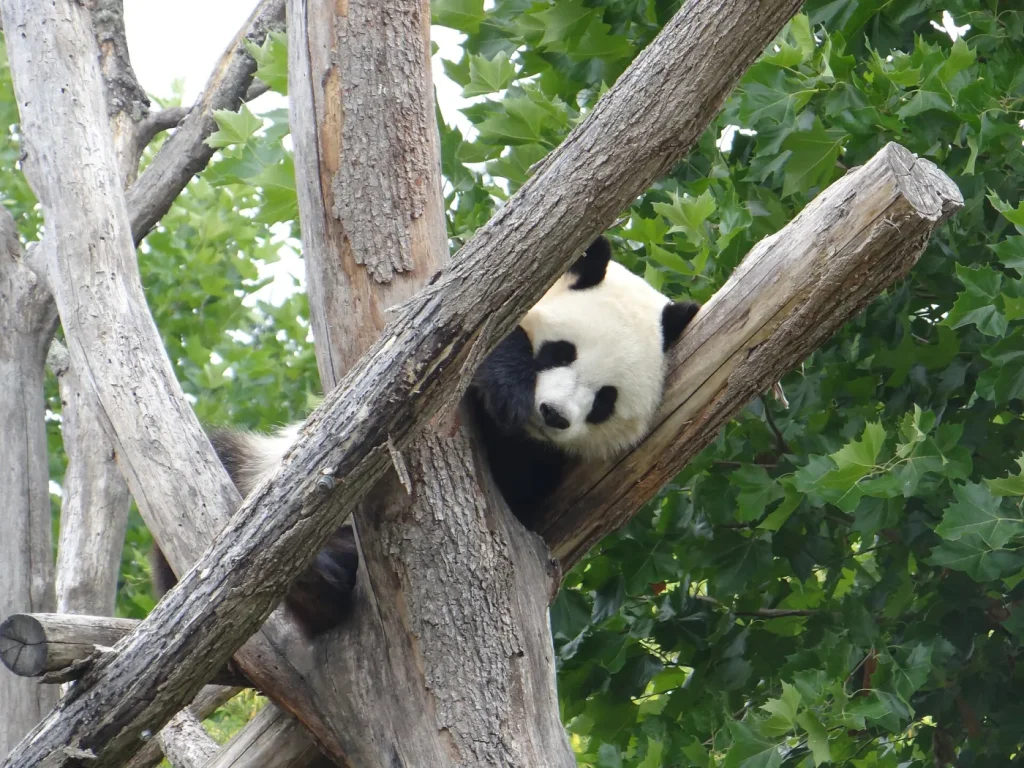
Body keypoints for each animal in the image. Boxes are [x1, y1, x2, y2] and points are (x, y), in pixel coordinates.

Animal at [150, 236, 699, 633]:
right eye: (559, 352)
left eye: (605, 399)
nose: (554, 414)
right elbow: (454, 333)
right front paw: (505, 385)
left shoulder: (545, 469)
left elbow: (523, 483)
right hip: (259, 463)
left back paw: (324, 578)